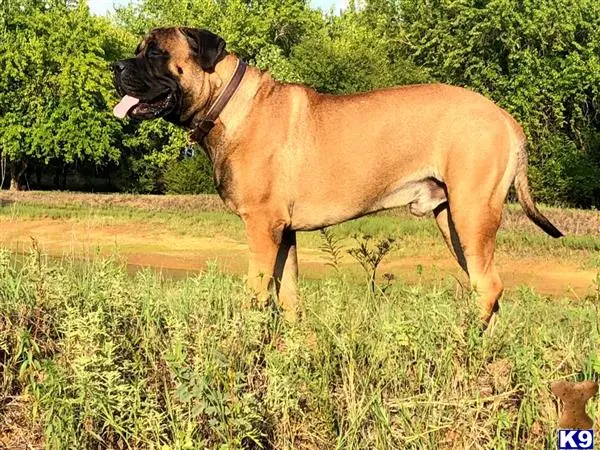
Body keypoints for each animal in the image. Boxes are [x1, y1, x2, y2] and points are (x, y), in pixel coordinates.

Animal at [111, 26, 564, 324]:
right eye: (137, 49)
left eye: (155, 53)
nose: (115, 65)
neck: (227, 103)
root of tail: (507, 119)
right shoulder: (284, 232)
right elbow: (288, 295)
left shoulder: (261, 226)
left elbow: (256, 291)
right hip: (453, 221)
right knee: (485, 287)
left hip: (472, 213)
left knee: (489, 287)